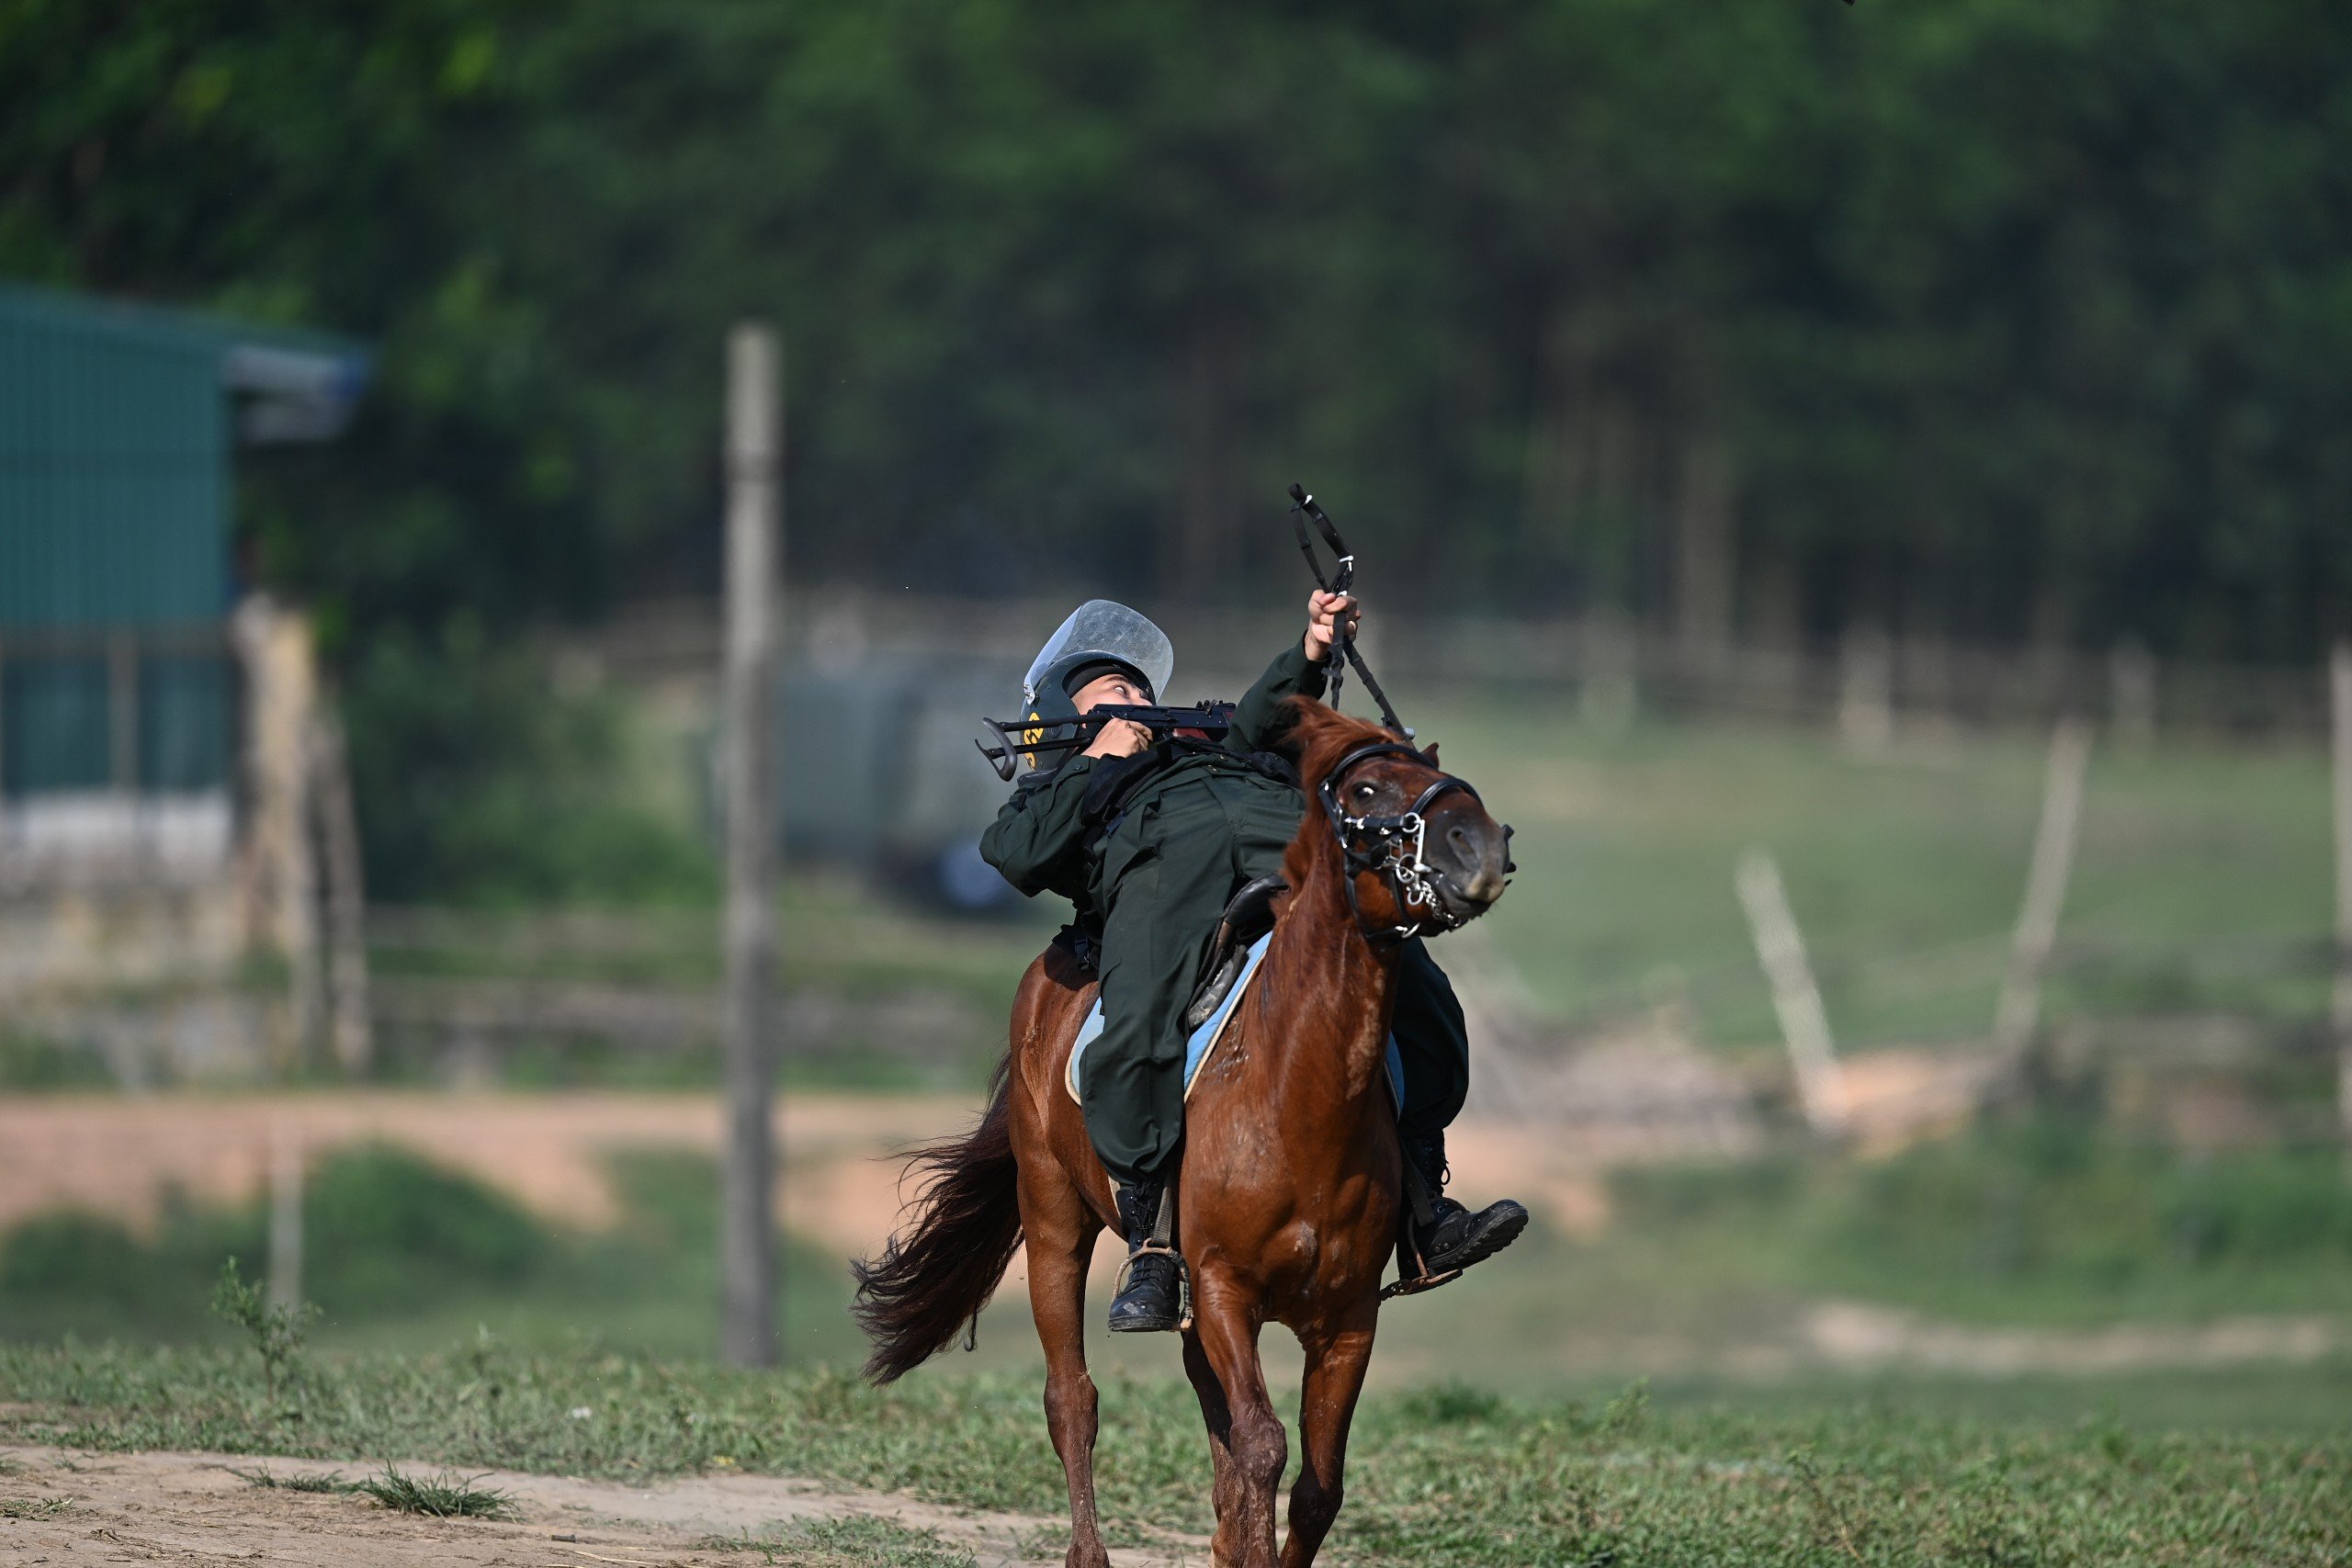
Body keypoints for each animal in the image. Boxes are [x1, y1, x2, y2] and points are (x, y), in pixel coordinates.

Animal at [855, 705, 1514, 1568]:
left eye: (1431, 769)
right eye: (1367, 789)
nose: (1483, 845)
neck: (1296, 1098)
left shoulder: (1347, 1320)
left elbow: (1315, 1483)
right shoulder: (1225, 1290)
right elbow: (1263, 1446)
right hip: (1054, 1220)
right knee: (1072, 1398)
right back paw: (1091, 1550)